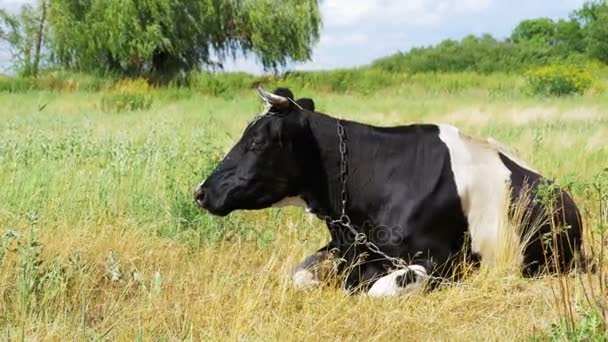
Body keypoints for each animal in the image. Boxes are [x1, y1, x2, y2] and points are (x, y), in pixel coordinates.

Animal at [192, 86, 588, 296]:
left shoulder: (443, 262)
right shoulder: (344, 247)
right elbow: (300, 274)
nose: (200, 192)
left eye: (256, 142)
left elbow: (376, 290)